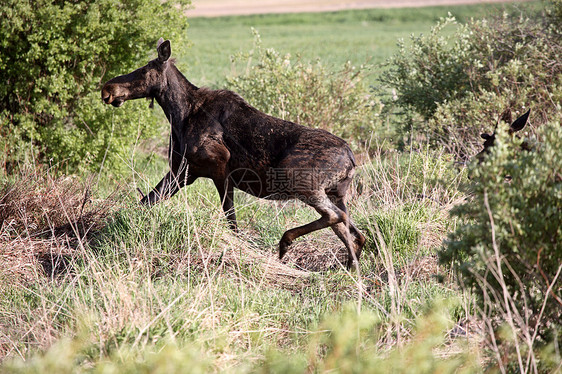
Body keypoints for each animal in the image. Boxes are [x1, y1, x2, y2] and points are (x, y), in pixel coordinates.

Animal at [102, 38, 366, 268]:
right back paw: (349, 266)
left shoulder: (220, 169)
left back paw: (285, 242)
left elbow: (231, 221)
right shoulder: (183, 171)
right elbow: (144, 203)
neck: (178, 115)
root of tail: (352, 159)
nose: (107, 88)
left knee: (337, 218)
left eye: (143, 71)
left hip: (299, 179)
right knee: (354, 232)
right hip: (335, 193)